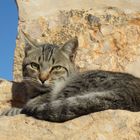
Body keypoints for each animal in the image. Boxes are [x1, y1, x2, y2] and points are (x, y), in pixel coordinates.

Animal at [1, 32, 140, 121]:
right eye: (34, 65)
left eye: (56, 68)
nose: (42, 78)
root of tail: (129, 94)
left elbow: (24, 108)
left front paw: (11, 110)